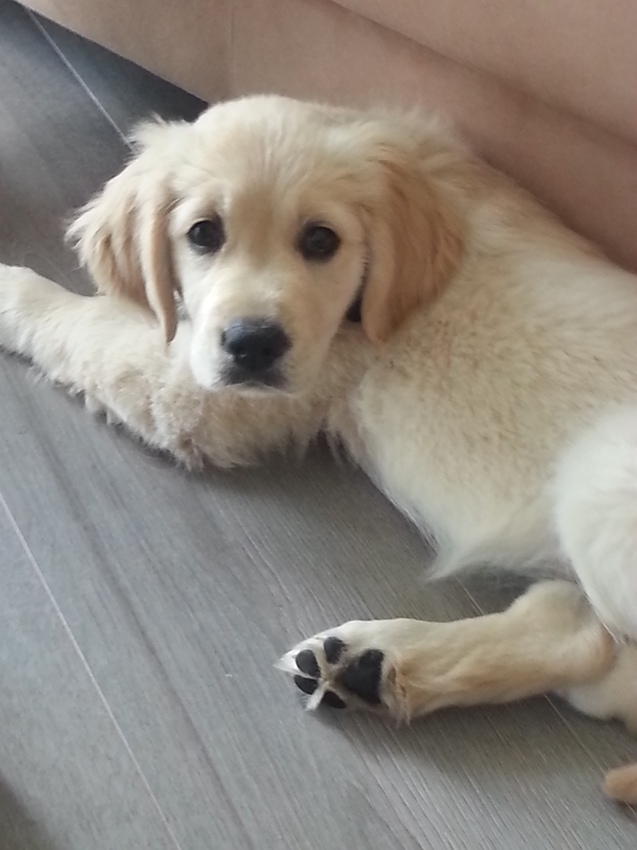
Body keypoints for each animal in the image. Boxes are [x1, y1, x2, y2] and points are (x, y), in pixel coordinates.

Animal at [0, 95, 635, 803]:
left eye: (321, 241)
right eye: (203, 233)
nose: (252, 344)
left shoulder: (198, 394)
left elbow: (81, 323)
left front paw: (10, 287)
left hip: (595, 479)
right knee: (584, 642)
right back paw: (373, 666)